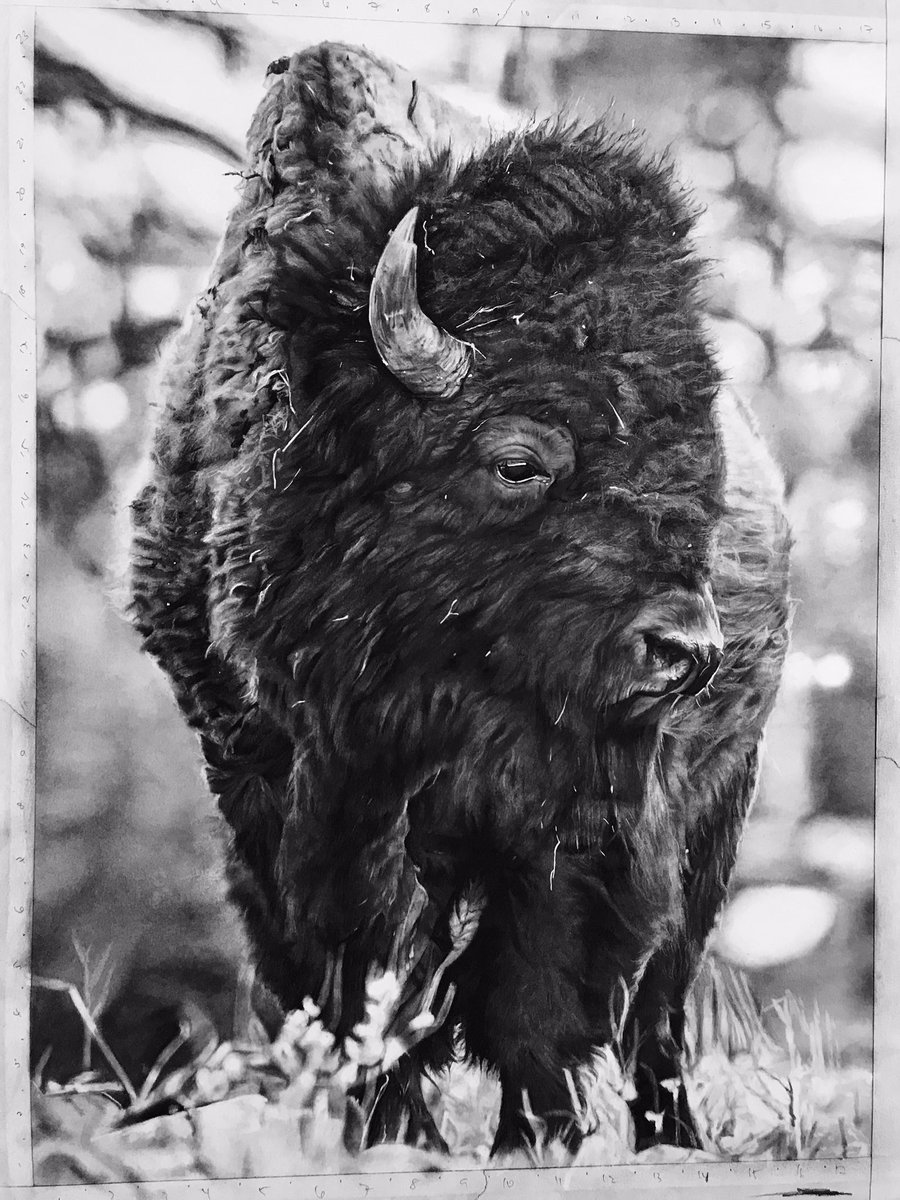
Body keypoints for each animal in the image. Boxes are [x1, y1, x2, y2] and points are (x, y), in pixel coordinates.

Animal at [130, 45, 791, 1157]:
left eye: (698, 476)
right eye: (518, 460)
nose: (686, 652)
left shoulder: (575, 810)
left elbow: (533, 989)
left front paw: (534, 1136)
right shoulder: (274, 786)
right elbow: (348, 969)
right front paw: (390, 1130)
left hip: (717, 812)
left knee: (657, 1002)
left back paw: (670, 1136)